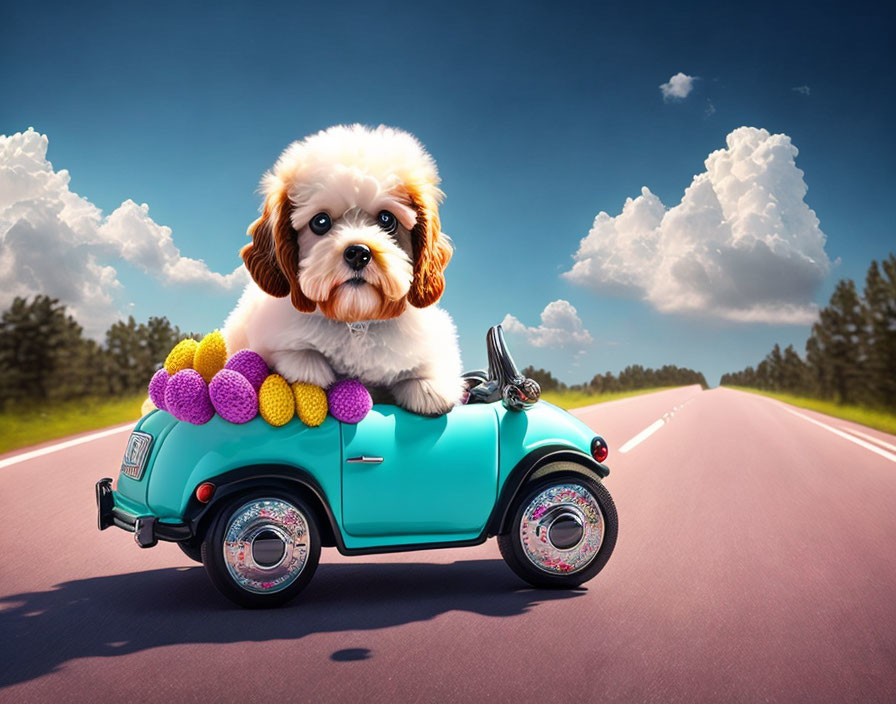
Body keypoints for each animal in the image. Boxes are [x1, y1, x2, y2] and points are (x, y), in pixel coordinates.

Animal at [221, 124, 466, 416]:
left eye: (387, 219)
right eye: (320, 222)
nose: (358, 253)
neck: (355, 321)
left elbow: (429, 372)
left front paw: (428, 388)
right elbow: (297, 356)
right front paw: (311, 368)